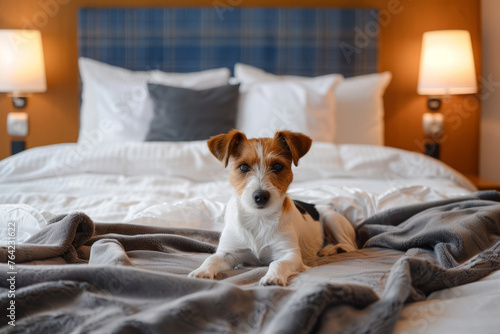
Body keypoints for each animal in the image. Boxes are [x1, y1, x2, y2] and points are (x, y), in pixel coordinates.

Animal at [188, 129, 356, 286]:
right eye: (243, 167)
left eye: (277, 166)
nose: (260, 196)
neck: (259, 218)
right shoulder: (228, 252)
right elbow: (211, 259)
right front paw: (201, 271)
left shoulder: (290, 254)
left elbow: (277, 263)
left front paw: (273, 277)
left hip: (332, 218)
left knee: (350, 246)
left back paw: (330, 249)